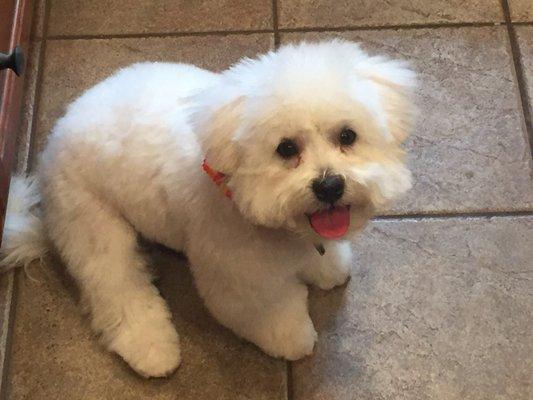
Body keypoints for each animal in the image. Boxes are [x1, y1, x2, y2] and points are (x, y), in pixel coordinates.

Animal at [0, 40, 414, 378]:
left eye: (347, 136)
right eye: (286, 149)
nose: (329, 186)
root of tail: (54, 139)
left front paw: (326, 267)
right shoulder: (238, 277)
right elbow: (268, 311)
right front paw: (293, 337)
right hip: (93, 225)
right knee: (117, 287)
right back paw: (152, 349)